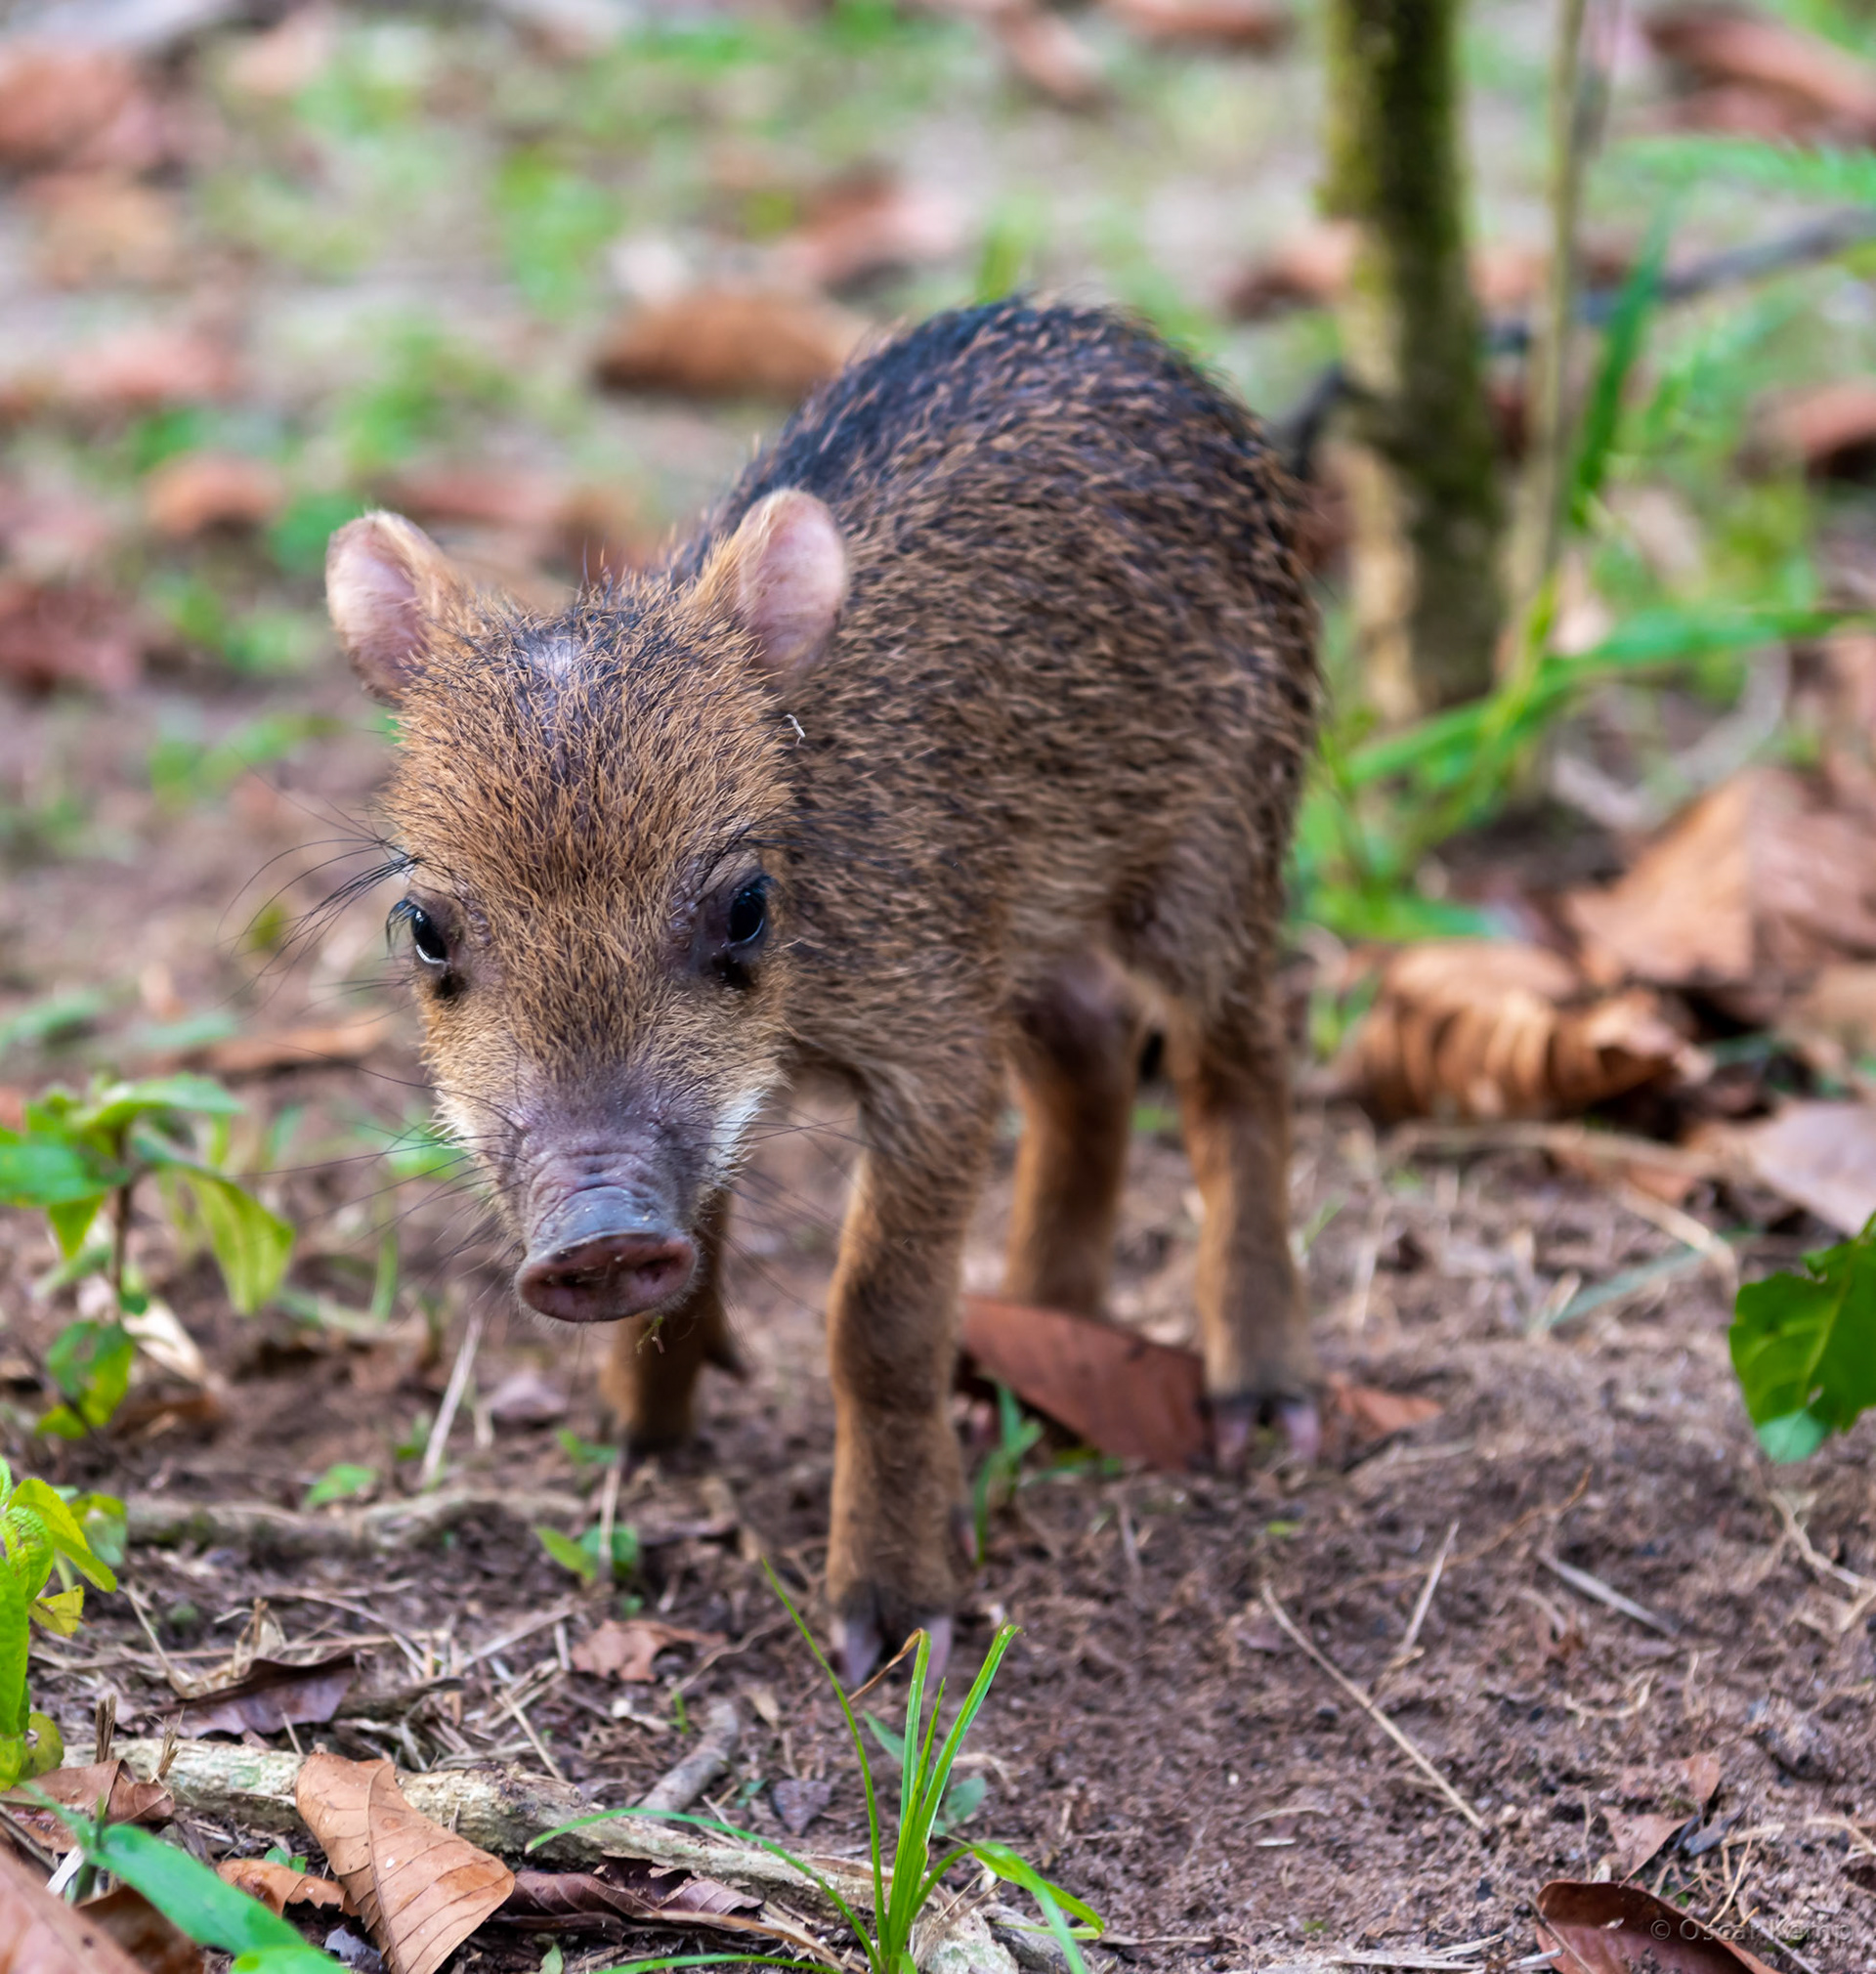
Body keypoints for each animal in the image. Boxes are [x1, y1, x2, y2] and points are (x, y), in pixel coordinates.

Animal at [325, 299, 1319, 1678]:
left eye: (745, 906)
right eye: (425, 928)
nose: (601, 1233)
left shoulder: (933, 1045)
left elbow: (876, 1318)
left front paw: (895, 1627)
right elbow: (717, 1227)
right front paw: (642, 1439)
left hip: (1218, 845)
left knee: (1240, 1064)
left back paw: (1257, 1404)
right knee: (1092, 1052)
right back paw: (1026, 1348)